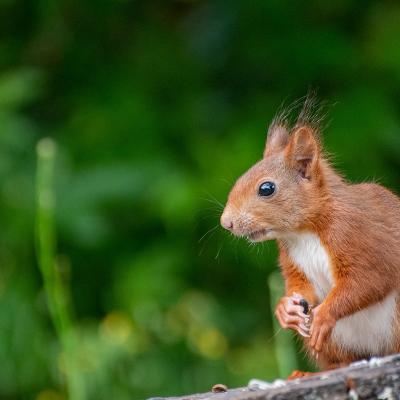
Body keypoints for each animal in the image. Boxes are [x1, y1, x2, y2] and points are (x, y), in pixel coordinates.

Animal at [220, 97, 400, 378]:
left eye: (266, 188)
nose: (225, 222)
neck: (303, 233)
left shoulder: (360, 236)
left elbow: (368, 280)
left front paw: (325, 315)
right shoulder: (292, 258)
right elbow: (302, 286)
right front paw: (285, 309)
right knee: (345, 360)